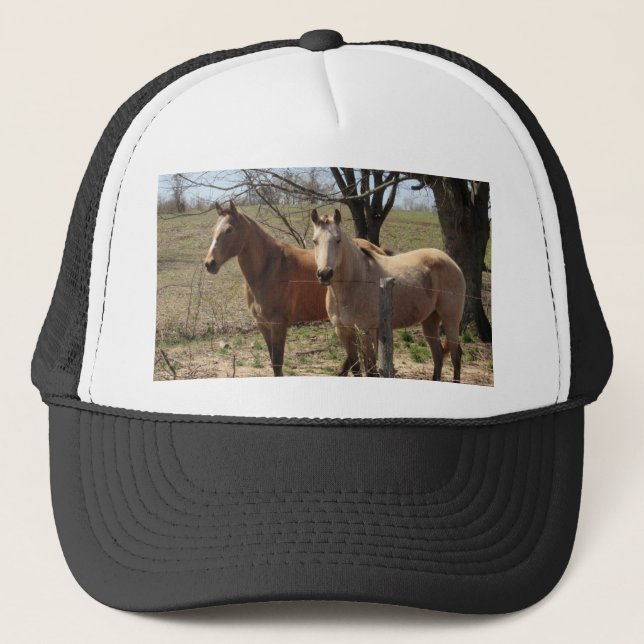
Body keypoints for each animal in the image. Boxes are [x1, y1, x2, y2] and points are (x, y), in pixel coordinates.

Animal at [203, 202, 390, 376]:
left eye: (229, 230)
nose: (209, 263)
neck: (269, 268)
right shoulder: (263, 324)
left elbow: (277, 364)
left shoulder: (278, 324)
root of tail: (377, 249)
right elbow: (273, 360)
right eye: (212, 230)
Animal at [310, 208, 466, 381]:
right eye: (315, 241)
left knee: (455, 355)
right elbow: (356, 368)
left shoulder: (366, 331)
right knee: (438, 355)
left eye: (338, 240)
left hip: (450, 320)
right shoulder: (344, 332)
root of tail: (451, 262)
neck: (354, 282)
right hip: (430, 320)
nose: (325, 274)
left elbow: (371, 370)